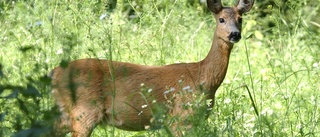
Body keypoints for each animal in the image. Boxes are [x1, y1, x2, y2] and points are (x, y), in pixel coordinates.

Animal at [50, 0, 255, 136]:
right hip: (83, 112)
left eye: (240, 19)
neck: (203, 79)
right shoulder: (181, 118)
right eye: (221, 19)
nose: (234, 34)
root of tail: (54, 73)